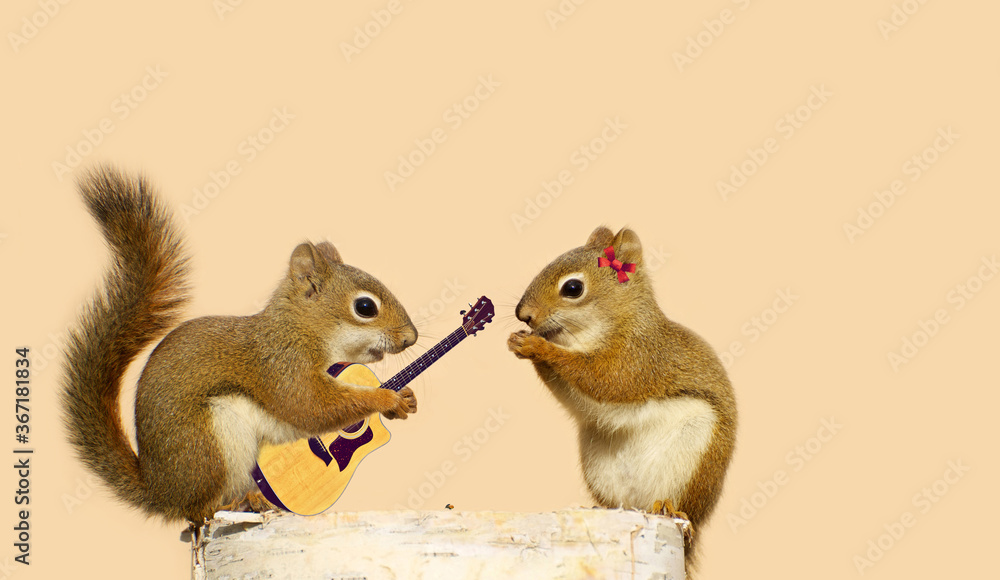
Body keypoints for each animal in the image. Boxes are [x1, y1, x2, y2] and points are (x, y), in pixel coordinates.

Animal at [60, 165, 419, 524]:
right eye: (365, 307)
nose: (411, 338)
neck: (300, 329)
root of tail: (161, 491)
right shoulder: (280, 366)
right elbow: (312, 407)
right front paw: (385, 398)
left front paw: (406, 399)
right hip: (210, 446)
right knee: (199, 511)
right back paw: (228, 506)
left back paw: (255, 500)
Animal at [507, 226, 737, 573]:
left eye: (573, 288)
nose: (524, 315)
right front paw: (519, 341)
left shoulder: (638, 358)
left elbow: (604, 380)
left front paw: (539, 347)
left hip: (694, 458)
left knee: (682, 507)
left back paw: (669, 508)